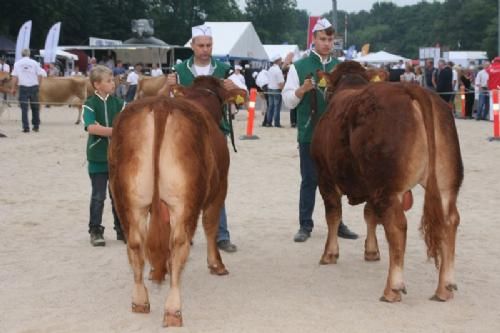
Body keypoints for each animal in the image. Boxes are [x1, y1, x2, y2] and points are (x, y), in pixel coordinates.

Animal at [110, 76, 247, 326]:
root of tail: (161, 105)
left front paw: (156, 271)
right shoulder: (220, 188)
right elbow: (211, 225)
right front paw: (216, 264)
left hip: (127, 199)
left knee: (135, 244)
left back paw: (140, 300)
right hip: (185, 202)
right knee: (179, 245)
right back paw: (173, 310)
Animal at [312, 62, 464, 304]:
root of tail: (412, 88)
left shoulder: (325, 177)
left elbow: (333, 216)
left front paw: (329, 254)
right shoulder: (369, 185)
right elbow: (369, 215)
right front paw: (371, 251)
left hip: (388, 187)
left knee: (397, 227)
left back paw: (392, 288)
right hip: (445, 183)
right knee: (450, 221)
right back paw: (444, 287)